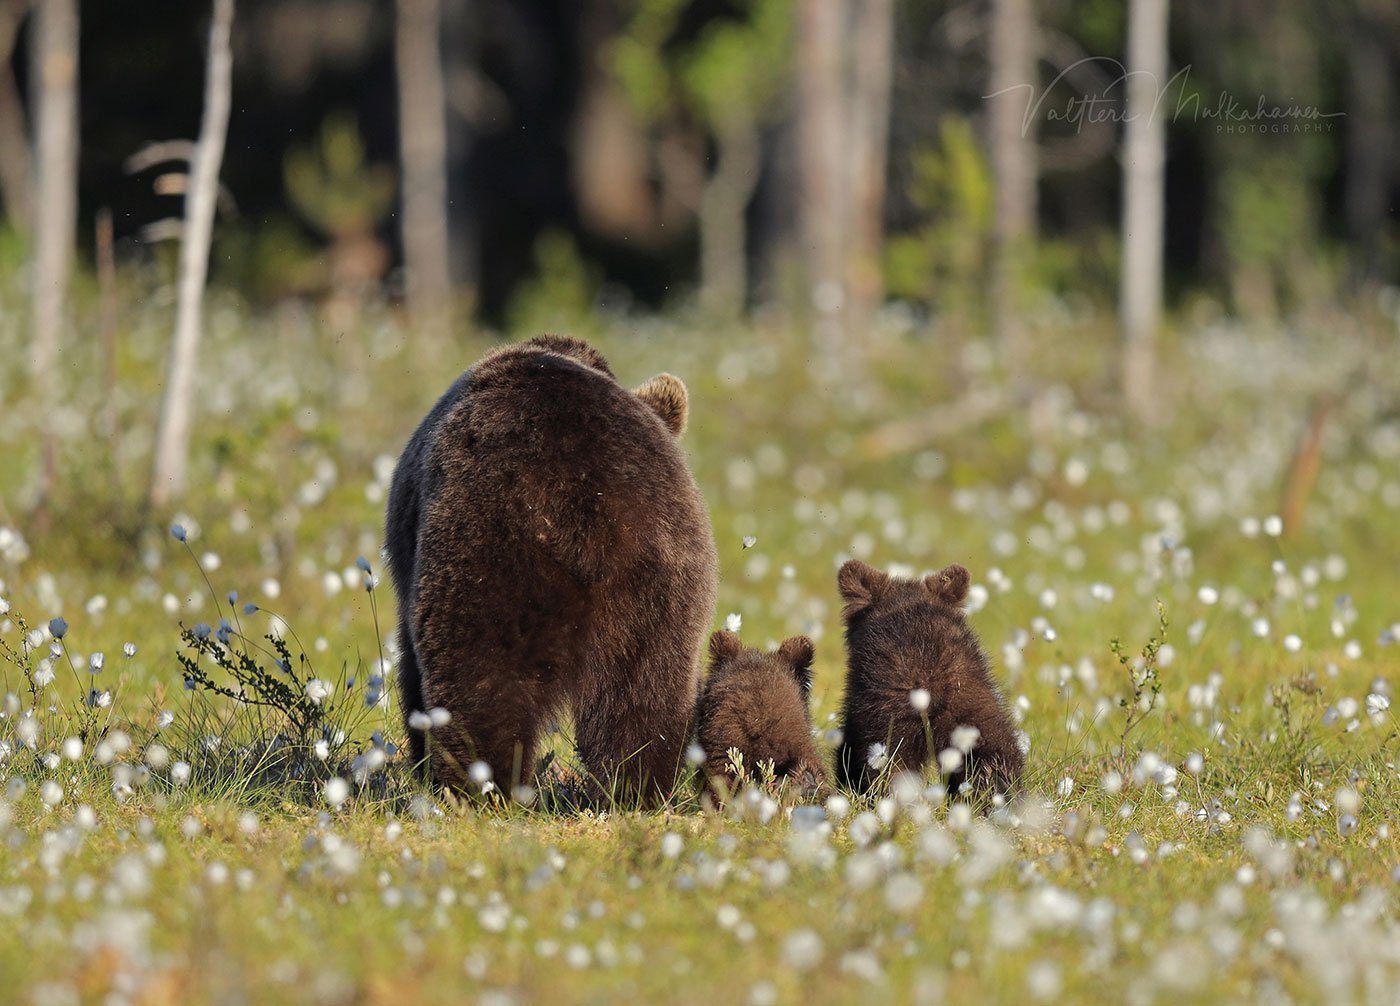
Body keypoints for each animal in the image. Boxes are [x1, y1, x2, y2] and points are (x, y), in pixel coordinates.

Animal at [383, 335, 716, 800]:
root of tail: (586, 516)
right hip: (660, 580)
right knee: (647, 693)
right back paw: (635, 786)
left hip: (489, 560)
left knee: (479, 682)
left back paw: (478, 786)